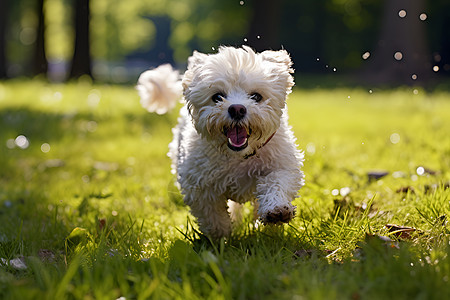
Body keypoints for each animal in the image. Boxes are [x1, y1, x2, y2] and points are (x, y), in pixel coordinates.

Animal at [137, 46, 304, 239]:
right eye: (217, 97)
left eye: (256, 96)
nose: (237, 109)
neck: (239, 156)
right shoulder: (201, 187)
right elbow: (213, 216)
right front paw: (220, 238)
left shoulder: (282, 166)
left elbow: (276, 183)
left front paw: (276, 210)